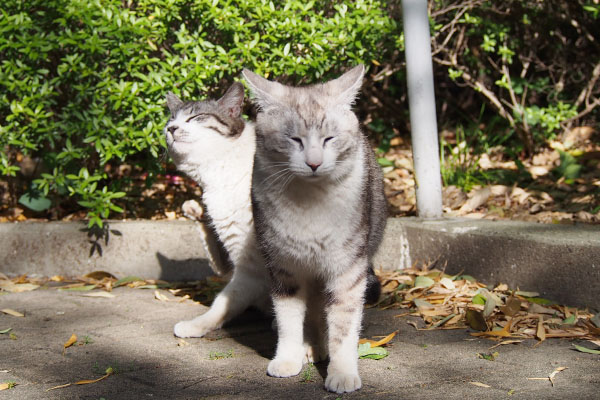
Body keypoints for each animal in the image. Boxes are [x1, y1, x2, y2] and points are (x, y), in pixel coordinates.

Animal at [244, 65, 390, 394]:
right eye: (294, 139)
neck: (310, 203)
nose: (313, 163)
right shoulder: (282, 267)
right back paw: (310, 346)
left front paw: (342, 372)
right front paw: (288, 358)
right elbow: (288, 320)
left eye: (329, 139)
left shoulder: (348, 268)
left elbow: (343, 325)